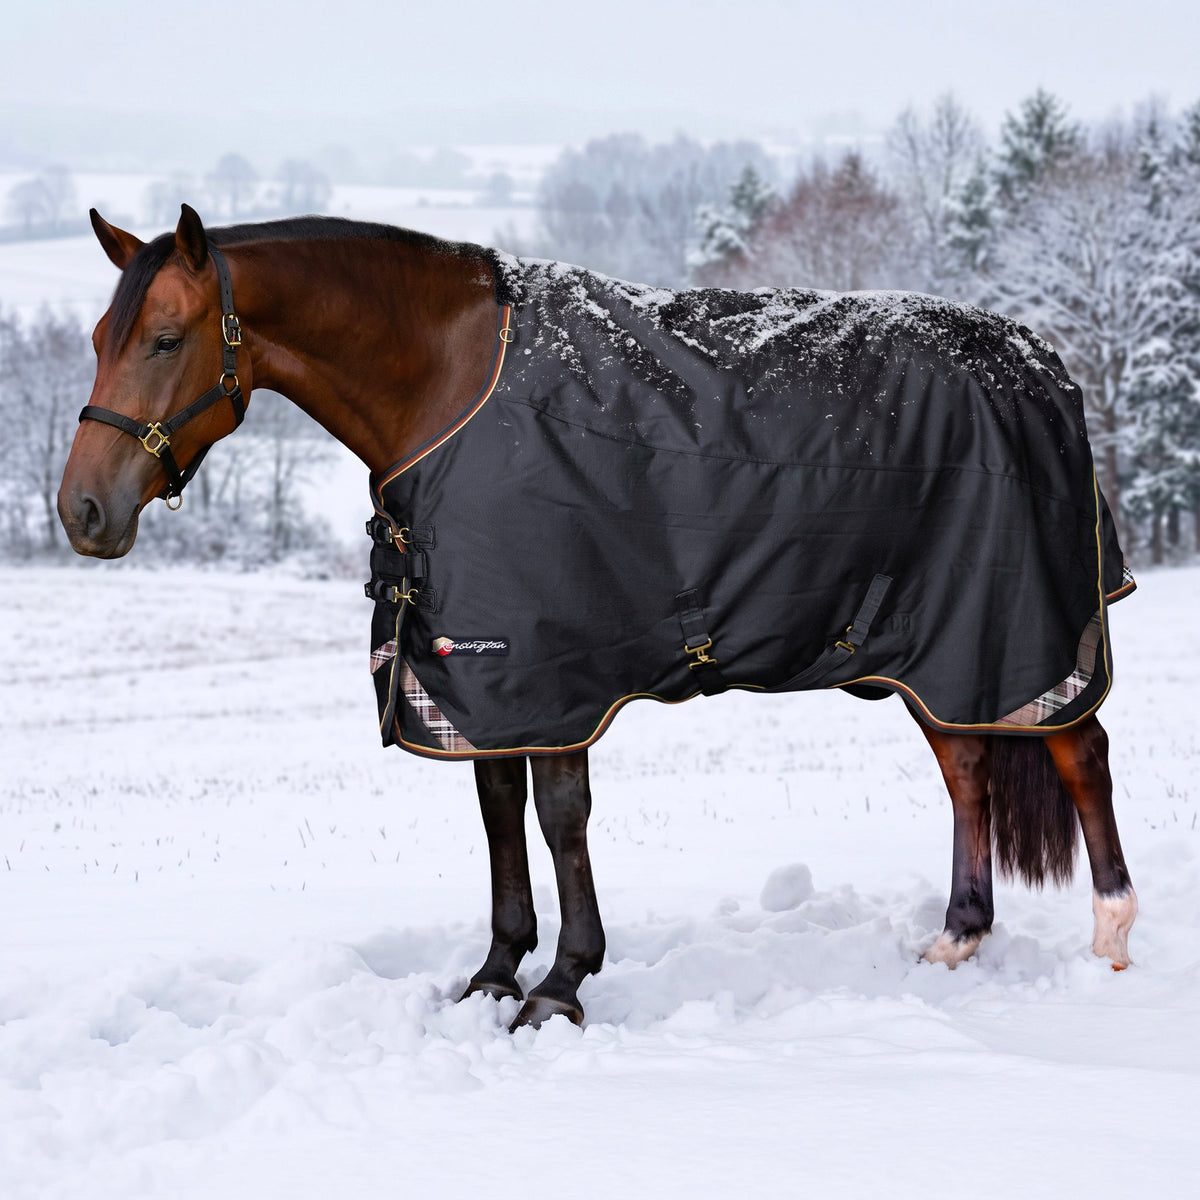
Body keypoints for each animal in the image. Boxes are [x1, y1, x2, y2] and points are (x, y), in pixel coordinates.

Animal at [58, 205, 1138, 1029]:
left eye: (164, 339)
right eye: (99, 341)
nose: (82, 512)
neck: (449, 384)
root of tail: (1043, 365)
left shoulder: (557, 671)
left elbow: (559, 818)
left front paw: (561, 988)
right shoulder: (478, 681)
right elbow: (498, 816)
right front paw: (494, 976)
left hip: (1023, 629)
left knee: (1080, 753)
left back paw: (1113, 942)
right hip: (934, 649)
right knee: (968, 767)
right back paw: (957, 938)